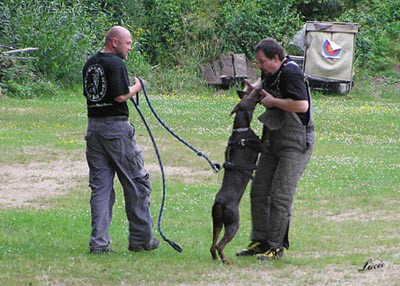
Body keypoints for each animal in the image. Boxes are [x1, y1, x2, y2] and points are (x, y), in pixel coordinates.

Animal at [209, 87, 266, 264]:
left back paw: (216, 259)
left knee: (212, 245)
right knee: (220, 245)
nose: (259, 88)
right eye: (252, 97)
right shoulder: (262, 146)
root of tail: (219, 202)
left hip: (217, 222)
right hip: (233, 223)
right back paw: (226, 261)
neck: (240, 130)